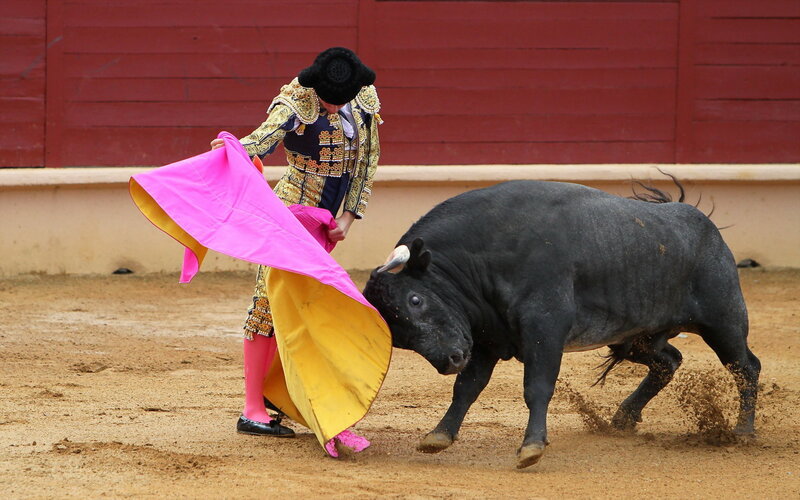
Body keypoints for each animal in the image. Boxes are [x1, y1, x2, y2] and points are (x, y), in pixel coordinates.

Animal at [363, 180, 760, 469]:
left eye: (415, 300)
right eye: (400, 338)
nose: (450, 360)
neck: (486, 253)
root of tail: (703, 224)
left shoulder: (545, 328)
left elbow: (536, 387)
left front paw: (531, 448)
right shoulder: (486, 339)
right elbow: (466, 388)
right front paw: (439, 436)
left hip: (722, 320)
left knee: (745, 366)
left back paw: (743, 431)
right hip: (635, 337)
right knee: (668, 361)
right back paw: (623, 418)